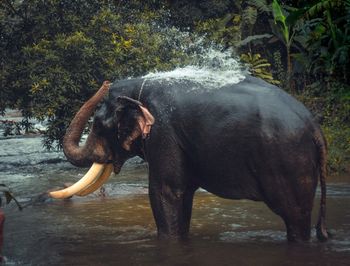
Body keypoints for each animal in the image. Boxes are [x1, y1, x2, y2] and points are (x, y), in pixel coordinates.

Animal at [49, 74, 328, 241]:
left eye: (97, 125)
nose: (105, 83)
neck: (138, 90)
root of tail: (314, 127)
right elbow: (182, 197)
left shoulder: (163, 133)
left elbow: (165, 193)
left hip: (288, 162)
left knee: (295, 217)